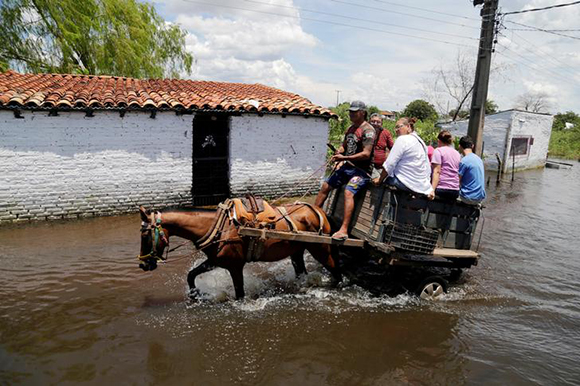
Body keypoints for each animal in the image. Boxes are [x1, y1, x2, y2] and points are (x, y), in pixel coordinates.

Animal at [138, 201, 342, 300]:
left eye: (145, 235)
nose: (143, 264)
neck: (218, 227)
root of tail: (318, 210)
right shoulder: (215, 261)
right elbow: (191, 275)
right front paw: (195, 295)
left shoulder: (235, 266)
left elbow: (240, 293)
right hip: (297, 251)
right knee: (301, 271)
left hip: (321, 249)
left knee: (336, 270)